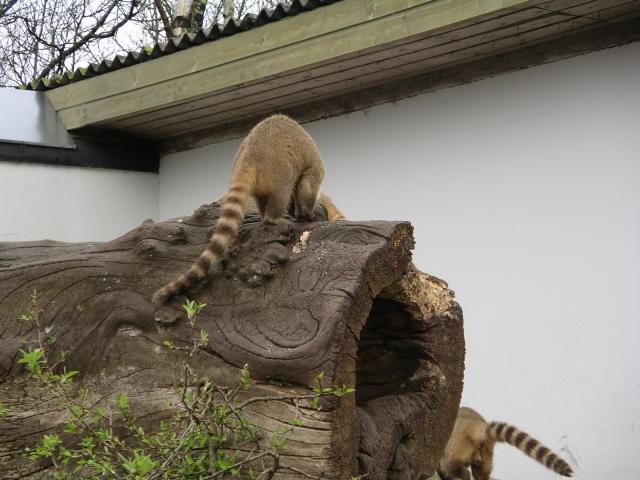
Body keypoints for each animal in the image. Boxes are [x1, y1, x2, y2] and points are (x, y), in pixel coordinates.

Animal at [152, 114, 342, 306]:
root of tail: (249, 155)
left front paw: (300, 213)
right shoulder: (314, 168)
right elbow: (307, 188)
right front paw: (309, 214)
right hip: (278, 172)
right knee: (282, 193)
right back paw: (274, 218)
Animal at [438, 407, 573, 480]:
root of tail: (480, 426)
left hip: (457, 442)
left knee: (450, 463)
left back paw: (460, 473)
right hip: (487, 449)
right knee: (481, 472)